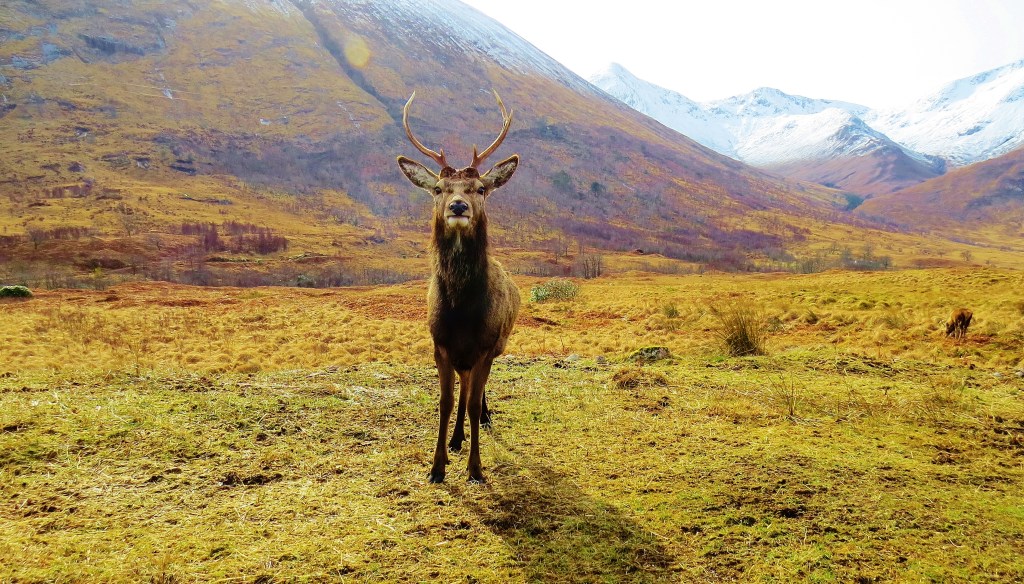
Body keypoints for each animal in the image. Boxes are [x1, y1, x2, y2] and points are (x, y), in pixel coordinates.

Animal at [397, 90, 520, 483]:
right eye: (438, 188)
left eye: (480, 188)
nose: (458, 205)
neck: (462, 311)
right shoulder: (440, 344)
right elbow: (446, 402)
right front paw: (437, 466)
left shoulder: (484, 346)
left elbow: (471, 402)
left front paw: (476, 468)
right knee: (464, 392)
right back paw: (455, 439)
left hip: (496, 347)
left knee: (475, 395)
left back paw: (479, 422)